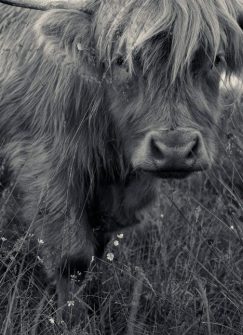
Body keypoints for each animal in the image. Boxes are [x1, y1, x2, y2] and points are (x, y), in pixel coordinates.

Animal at [0, 0, 242, 320]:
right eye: (120, 61)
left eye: (215, 59)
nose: (175, 149)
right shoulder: (43, 163)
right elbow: (73, 256)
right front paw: (72, 319)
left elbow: (98, 250)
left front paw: (93, 306)